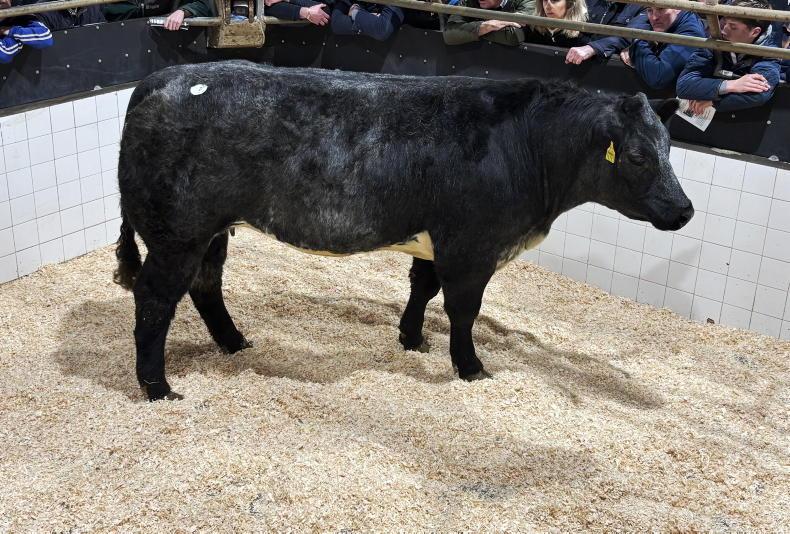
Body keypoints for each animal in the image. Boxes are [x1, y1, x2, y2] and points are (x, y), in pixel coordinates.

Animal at [114, 61, 693, 401]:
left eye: (670, 147)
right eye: (637, 156)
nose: (685, 210)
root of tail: (159, 79)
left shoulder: (437, 240)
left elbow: (423, 287)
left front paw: (411, 338)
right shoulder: (471, 245)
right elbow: (463, 310)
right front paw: (470, 367)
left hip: (211, 230)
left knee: (205, 286)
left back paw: (235, 344)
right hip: (176, 232)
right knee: (155, 299)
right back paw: (158, 387)